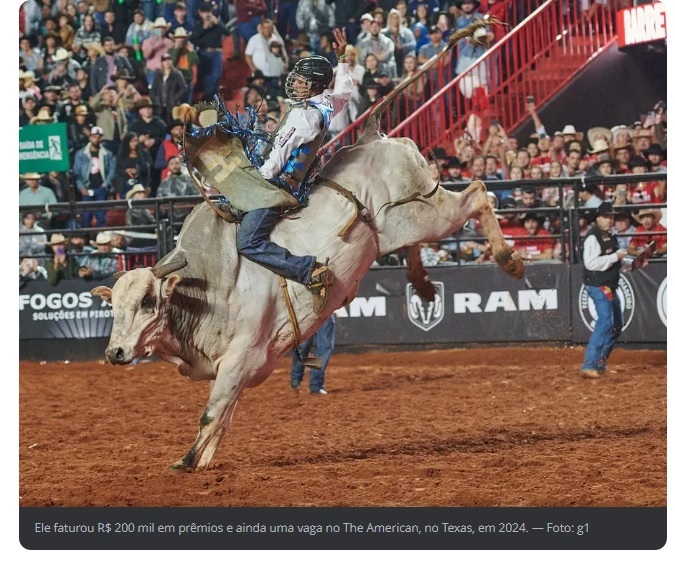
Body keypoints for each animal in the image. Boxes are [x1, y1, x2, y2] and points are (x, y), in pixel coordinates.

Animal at [91, 114, 524, 466]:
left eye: (148, 301)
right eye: (113, 308)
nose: (114, 353)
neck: (208, 287)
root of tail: (376, 138)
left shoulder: (240, 359)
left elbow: (212, 414)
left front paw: (185, 462)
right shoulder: (233, 369)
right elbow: (223, 417)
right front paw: (204, 460)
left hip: (428, 212)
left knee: (477, 192)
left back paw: (508, 260)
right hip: (411, 222)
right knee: (422, 238)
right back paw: (422, 283)